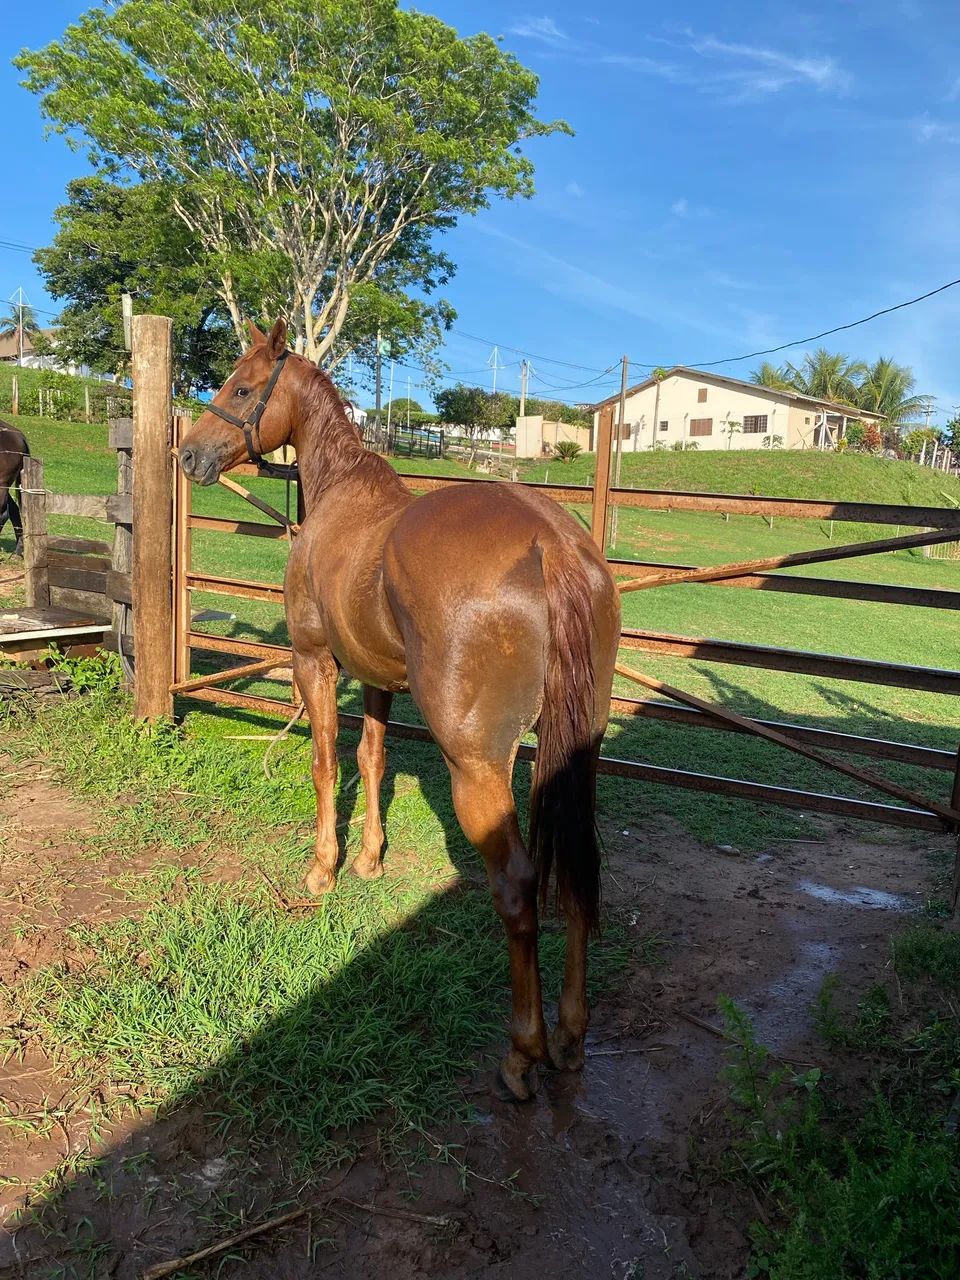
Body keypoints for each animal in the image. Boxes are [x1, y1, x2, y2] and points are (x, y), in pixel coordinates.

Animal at [178, 319, 621, 1102]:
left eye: (241, 386)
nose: (190, 453)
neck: (341, 496)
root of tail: (554, 544)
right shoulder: (376, 676)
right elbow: (373, 758)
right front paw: (370, 859)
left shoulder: (317, 662)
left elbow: (328, 761)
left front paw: (324, 868)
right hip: (575, 755)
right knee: (576, 874)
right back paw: (569, 1037)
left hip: (477, 767)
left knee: (518, 888)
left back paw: (524, 1052)